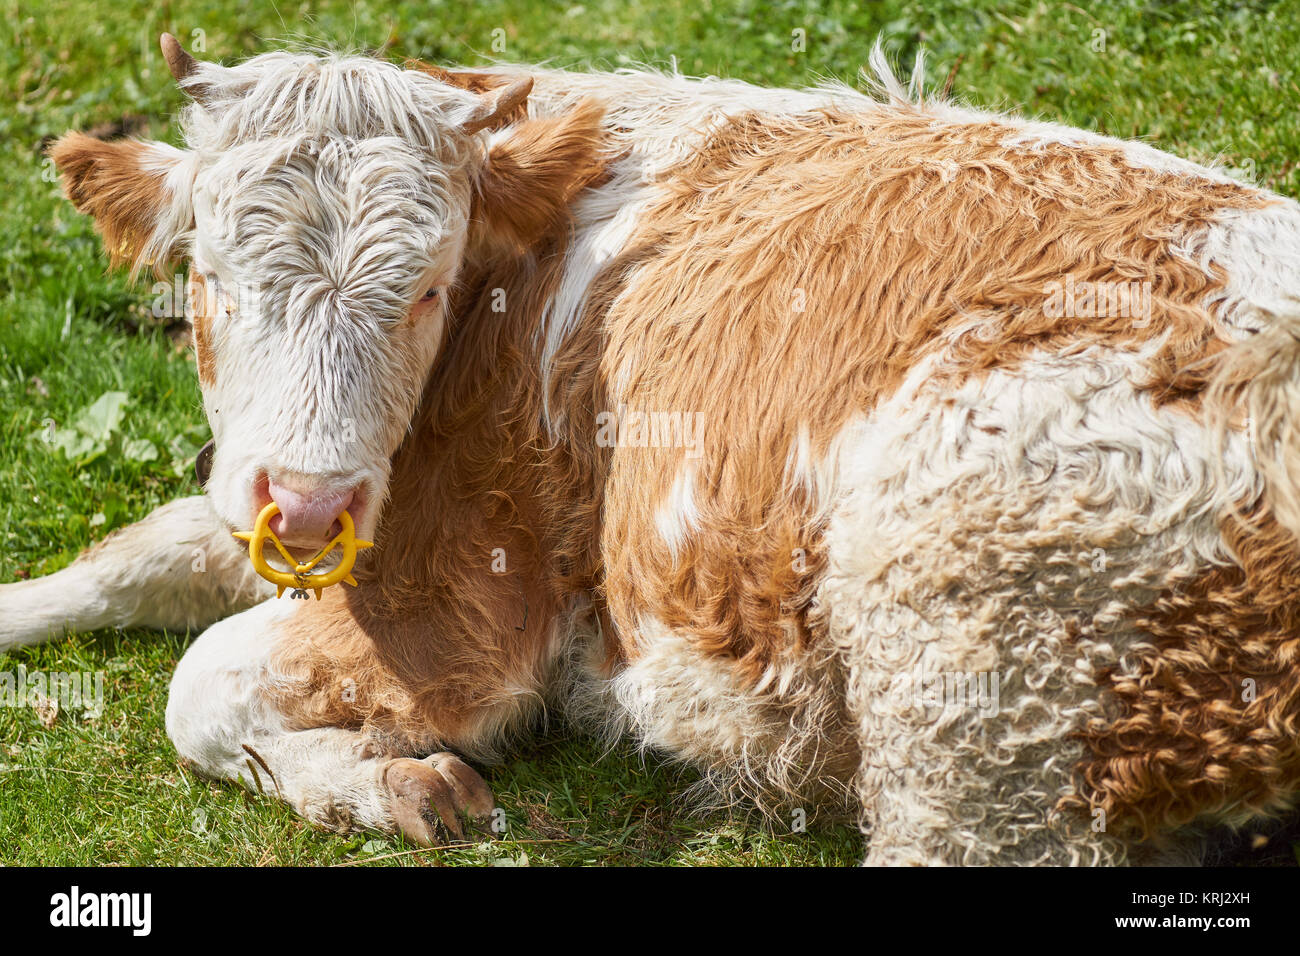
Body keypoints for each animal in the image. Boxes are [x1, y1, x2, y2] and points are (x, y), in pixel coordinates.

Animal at [2, 33, 1300, 863]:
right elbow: (140, 552)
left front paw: (392, 781)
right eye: (208, 278)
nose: (311, 505)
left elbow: (202, 682)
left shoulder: (468, 597)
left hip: (977, 681)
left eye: (425, 289)